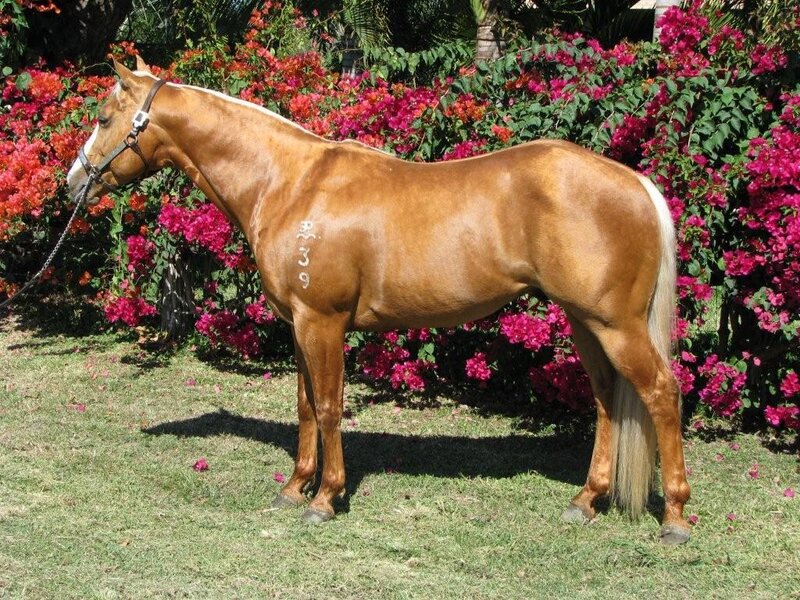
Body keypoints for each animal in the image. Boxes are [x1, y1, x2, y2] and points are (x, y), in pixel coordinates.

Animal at [67, 57, 691, 544]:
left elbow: (327, 407)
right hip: (586, 323)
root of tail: (635, 183)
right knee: (608, 399)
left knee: (662, 393)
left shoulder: (322, 324)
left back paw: (676, 518)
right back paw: (586, 501)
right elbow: (304, 407)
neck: (289, 184)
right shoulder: (298, 325)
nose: (72, 184)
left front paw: (325, 499)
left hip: (616, 325)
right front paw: (294, 489)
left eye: (102, 117)